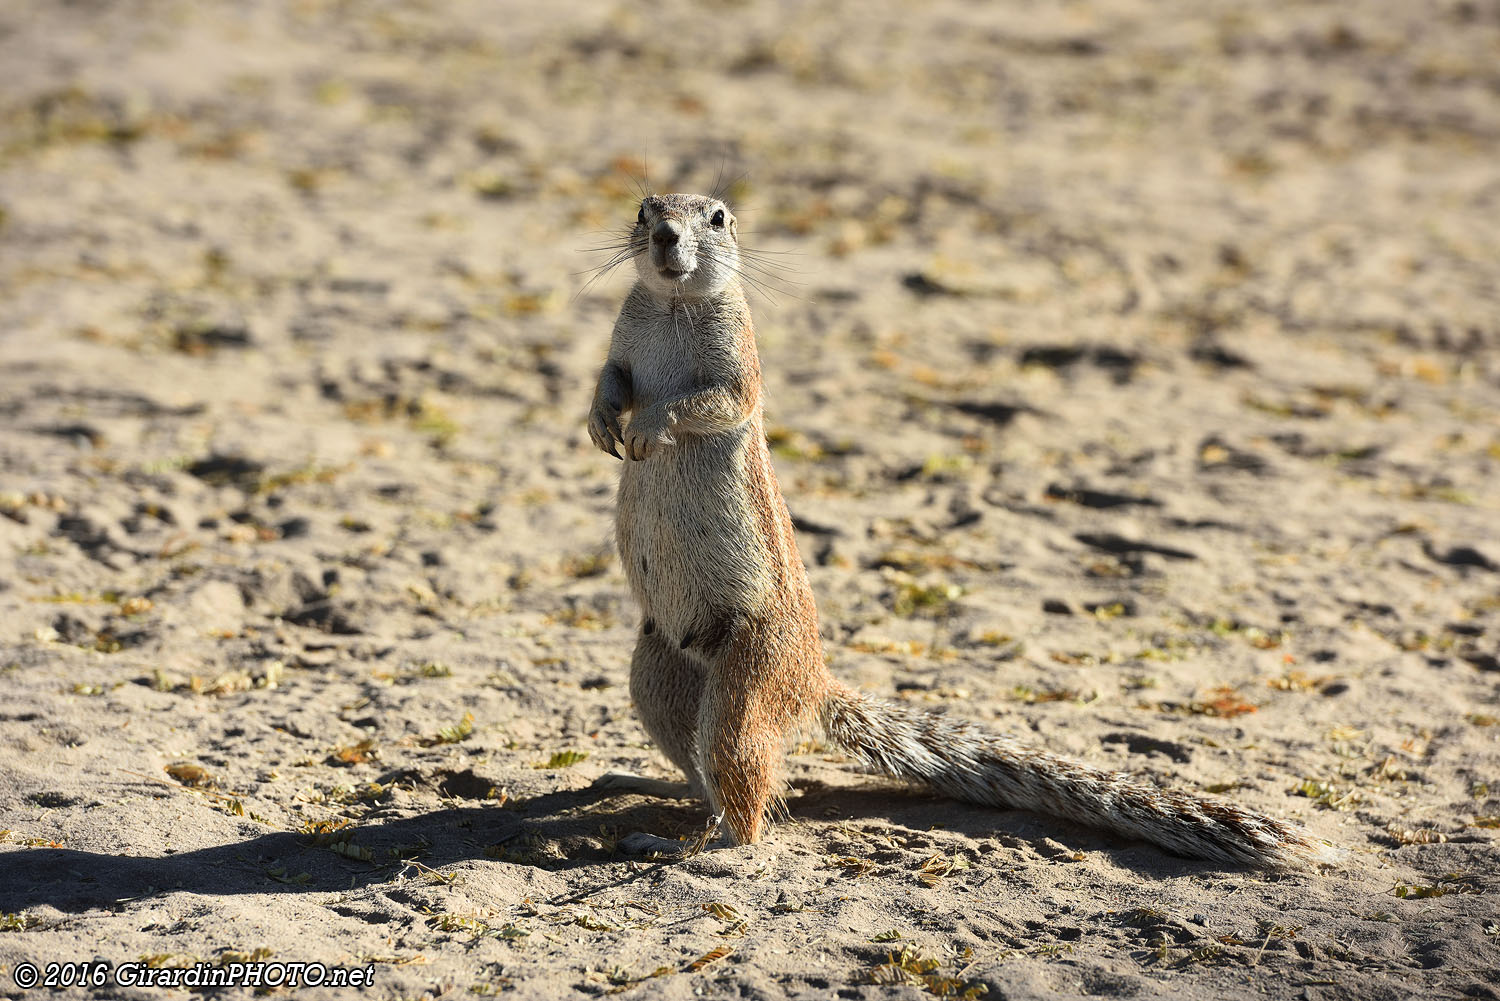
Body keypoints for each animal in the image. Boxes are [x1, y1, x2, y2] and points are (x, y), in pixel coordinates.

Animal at [585, 192, 1341, 869]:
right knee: (701, 767)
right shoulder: (621, 345)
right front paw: (601, 418)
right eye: (646, 210)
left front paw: (650, 426)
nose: (666, 239)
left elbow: (714, 401)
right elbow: (611, 375)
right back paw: (645, 789)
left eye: (716, 218)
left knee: (748, 803)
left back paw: (689, 851)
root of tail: (814, 681)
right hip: (656, 671)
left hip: (745, 682)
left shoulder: (739, 365)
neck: (673, 305)